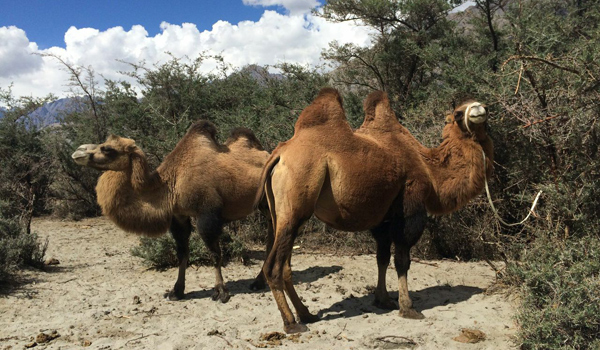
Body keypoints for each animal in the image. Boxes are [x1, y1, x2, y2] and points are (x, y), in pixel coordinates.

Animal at [71, 120, 274, 300]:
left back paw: (259, 282)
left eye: (107, 149)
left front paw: (221, 292)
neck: (171, 184)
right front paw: (176, 292)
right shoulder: (179, 216)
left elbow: (215, 254)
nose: (77, 152)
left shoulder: (207, 214)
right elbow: (182, 253)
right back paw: (260, 282)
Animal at [253, 88, 492, 334]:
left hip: (283, 215)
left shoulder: (383, 218)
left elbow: (382, 258)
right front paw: (408, 308)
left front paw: (383, 300)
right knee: (273, 266)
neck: (429, 169)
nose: (479, 109)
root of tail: (279, 155)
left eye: (487, 108)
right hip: (296, 199)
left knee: (286, 265)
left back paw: (307, 314)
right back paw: (291, 323)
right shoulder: (410, 205)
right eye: (457, 114)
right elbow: (402, 259)